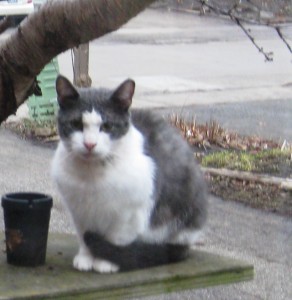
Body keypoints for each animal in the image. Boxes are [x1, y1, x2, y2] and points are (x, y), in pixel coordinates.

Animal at [52, 75, 208, 274]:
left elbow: (116, 238)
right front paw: (86, 258)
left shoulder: (130, 214)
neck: (91, 175)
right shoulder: (79, 212)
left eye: (107, 126)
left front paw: (105, 262)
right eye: (76, 124)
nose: (89, 144)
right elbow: (83, 237)